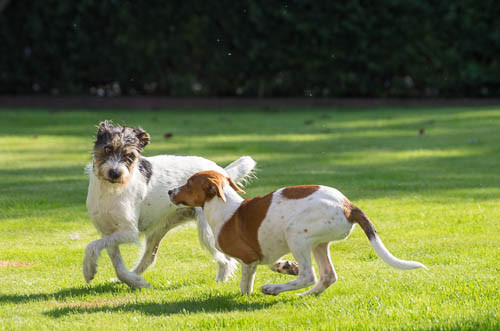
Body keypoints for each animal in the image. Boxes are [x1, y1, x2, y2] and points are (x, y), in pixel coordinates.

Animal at [170, 171, 428, 296]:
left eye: (188, 184)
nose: (171, 191)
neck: (227, 208)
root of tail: (348, 206)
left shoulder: (248, 258)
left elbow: (246, 282)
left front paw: (246, 295)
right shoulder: (265, 250)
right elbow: (272, 261)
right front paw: (286, 267)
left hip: (296, 234)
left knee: (309, 276)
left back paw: (273, 289)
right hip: (318, 243)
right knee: (327, 276)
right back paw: (303, 296)